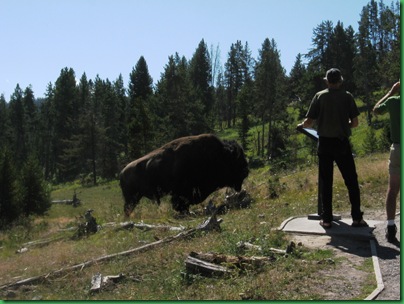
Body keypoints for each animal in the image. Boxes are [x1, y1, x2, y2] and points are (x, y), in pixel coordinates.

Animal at [118, 134, 248, 216]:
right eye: (238, 161)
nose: (246, 171)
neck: (220, 156)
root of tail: (122, 172)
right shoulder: (183, 193)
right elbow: (180, 204)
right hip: (132, 197)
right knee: (127, 208)